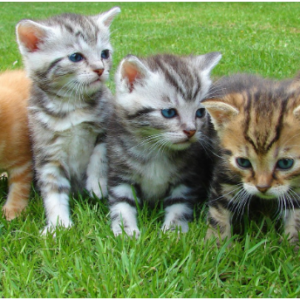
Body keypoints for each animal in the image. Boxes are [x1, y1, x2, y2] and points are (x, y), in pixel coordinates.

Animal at [15, 6, 120, 232]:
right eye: (75, 57)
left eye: (104, 53)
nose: (100, 68)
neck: (70, 106)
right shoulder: (47, 154)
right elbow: (53, 191)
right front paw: (58, 224)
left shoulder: (106, 127)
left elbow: (100, 153)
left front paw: (97, 183)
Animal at [106, 51, 221, 236]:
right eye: (169, 112)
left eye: (200, 112)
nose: (191, 130)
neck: (155, 149)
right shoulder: (120, 173)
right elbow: (122, 204)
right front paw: (126, 231)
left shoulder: (187, 179)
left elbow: (179, 206)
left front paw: (173, 231)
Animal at [202, 73, 300, 246]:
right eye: (243, 162)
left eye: (285, 163)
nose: (262, 187)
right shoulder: (224, 170)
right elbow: (218, 211)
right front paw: (217, 244)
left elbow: (296, 215)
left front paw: (292, 245)